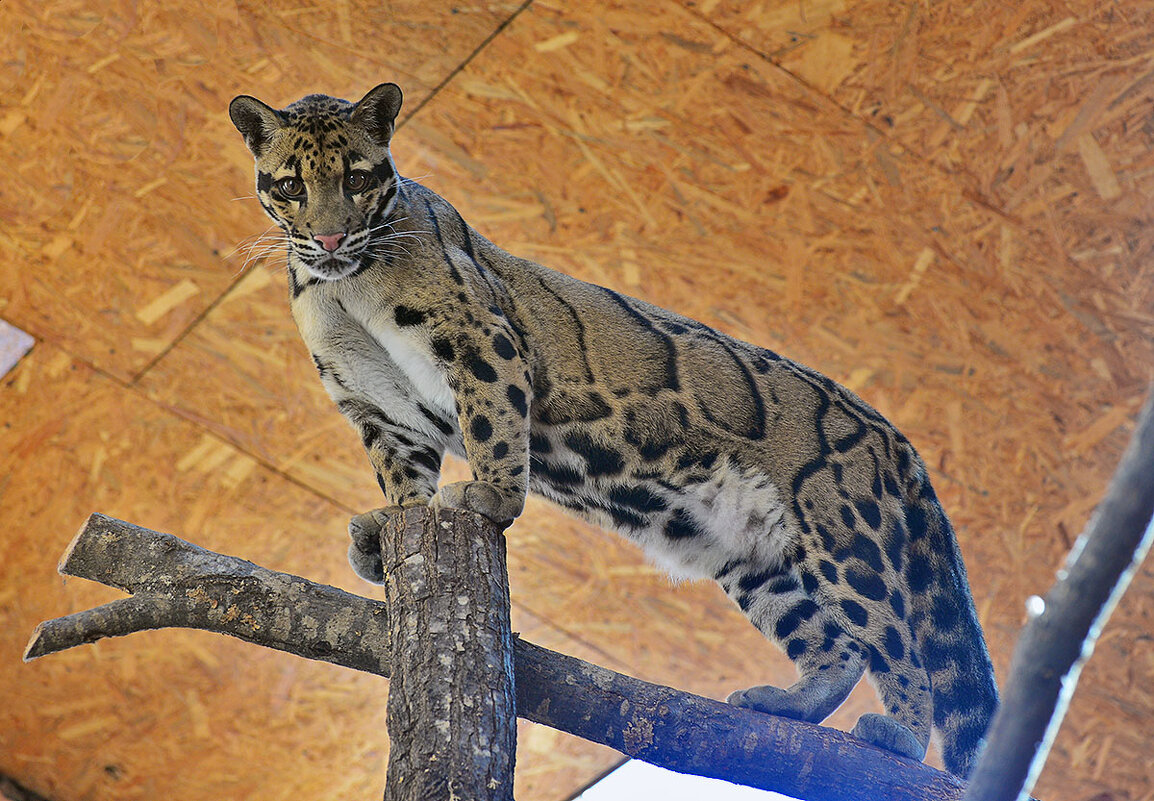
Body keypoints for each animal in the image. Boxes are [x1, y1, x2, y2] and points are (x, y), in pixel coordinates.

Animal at [229, 83, 997, 780]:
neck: (343, 285)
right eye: (292, 185)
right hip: (755, 557)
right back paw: (784, 704)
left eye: (358, 177)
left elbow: (492, 425)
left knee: (897, 647)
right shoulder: (375, 403)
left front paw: (489, 498)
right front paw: (392, 525)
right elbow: (403, 478)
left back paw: (899, 737)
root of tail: (892, 434)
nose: (329, 235)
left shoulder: (481, 340)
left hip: (844, 536)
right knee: (833, 647)